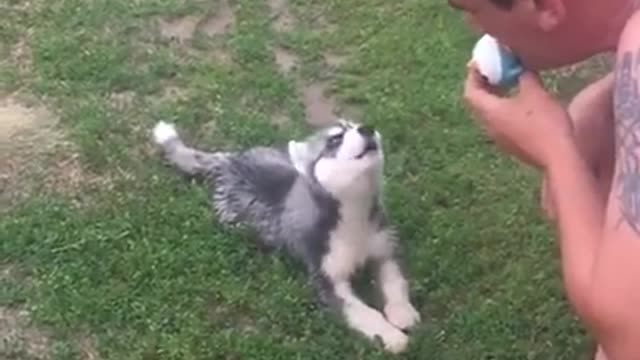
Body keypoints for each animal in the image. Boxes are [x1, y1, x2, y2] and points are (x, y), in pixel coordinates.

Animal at [150, 119, 420, 352]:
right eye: (335, 139)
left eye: (356, 125)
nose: (367, 129)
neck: (354, 215)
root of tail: (230, 160)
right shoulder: (327, 281)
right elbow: (365, 312)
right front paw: (391, 336)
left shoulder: (385, 250)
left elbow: (396, 282)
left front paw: (402, 312)